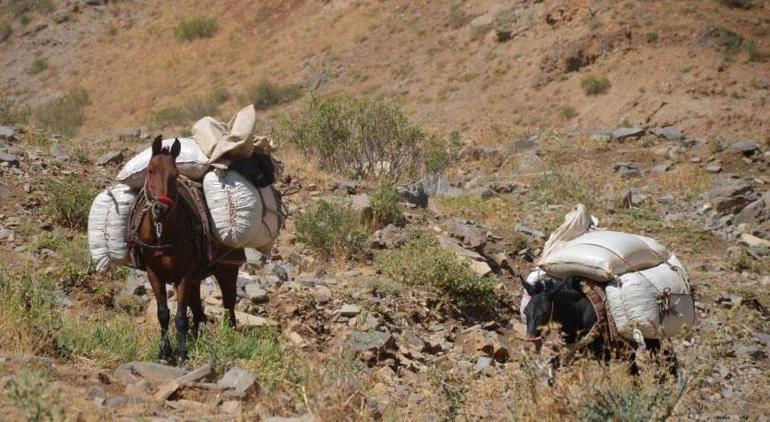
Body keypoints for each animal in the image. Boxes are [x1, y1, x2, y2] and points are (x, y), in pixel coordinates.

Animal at [137, 136, 240, 362]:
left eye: (175, 175)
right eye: (150, 170)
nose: (160, 209)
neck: (162, 235)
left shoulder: (183, 276)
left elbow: (180, 316)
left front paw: (183, 354)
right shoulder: (154, 274)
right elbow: (163, 314)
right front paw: (164, 352)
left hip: (227, 270)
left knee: (229, 305)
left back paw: (230, 337)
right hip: (196, 278)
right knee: (199, 310)